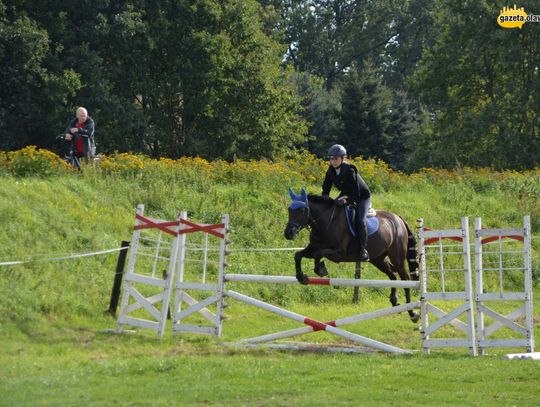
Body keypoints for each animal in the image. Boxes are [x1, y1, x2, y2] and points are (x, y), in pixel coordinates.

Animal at [284, 188, 420, 322]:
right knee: (392, 274)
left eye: (302, 210)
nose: (288, 233)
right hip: (378, 259)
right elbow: (298, 255)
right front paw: (302, 277)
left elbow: (319, 254)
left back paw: (412, 313)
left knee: (405, 278)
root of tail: (398, 218)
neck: (326, 222)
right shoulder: (312, 248)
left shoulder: (338, 253)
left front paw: (320, 268)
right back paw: (394, 301)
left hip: (397, 257)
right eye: (289, 210)